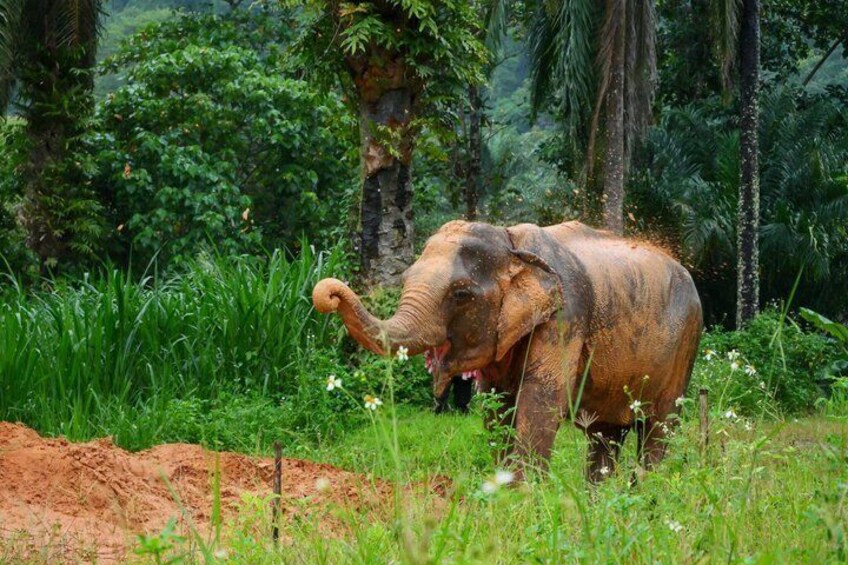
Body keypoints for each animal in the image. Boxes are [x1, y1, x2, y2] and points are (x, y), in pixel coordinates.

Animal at [312, 220, 703, 481]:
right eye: (406, 279)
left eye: (461, 294)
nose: (327, 293)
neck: (511, 241)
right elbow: (497, 405)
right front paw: (501, 490)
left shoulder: (566, 315)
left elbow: (541, 400)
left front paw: (522, 496)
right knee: (606, 435)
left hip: (686, 344)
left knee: (658, 430)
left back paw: (645, 499)